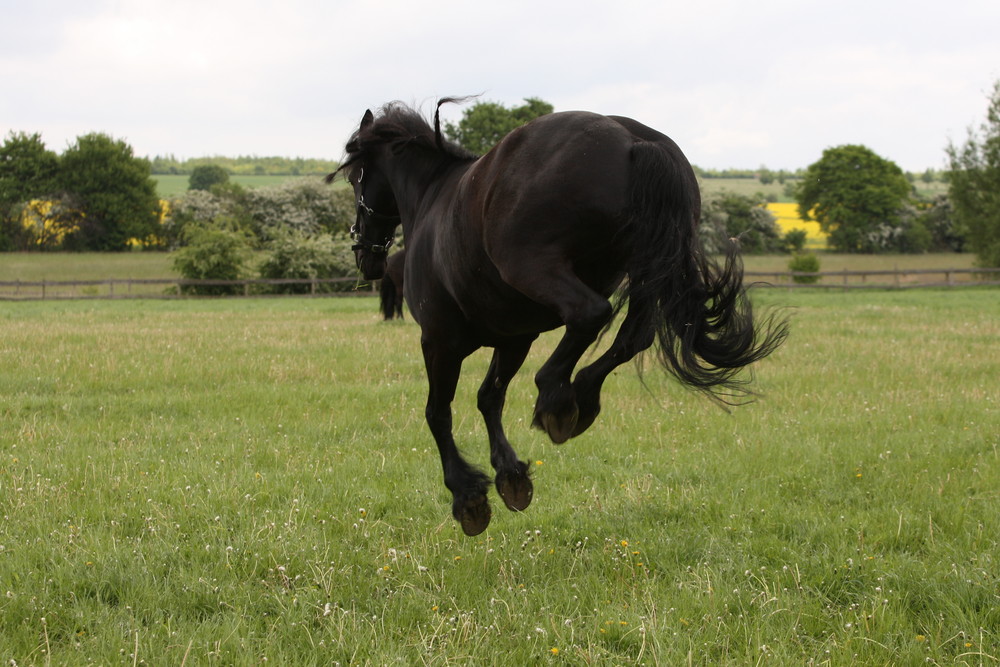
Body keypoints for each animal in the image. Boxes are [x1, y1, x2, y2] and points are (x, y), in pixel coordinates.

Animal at [332, 100, 784, 536]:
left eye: (354, 177)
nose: (365, 254)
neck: (432, 199)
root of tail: (633, 140)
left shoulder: (439, 340)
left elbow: (437, 412)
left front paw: (467, 496)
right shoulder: (514, 338)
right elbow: (489, 397)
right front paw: (510, 475)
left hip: (536, 266)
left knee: (591, 315)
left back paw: (556, 399)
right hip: (646, 268)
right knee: (633, 335)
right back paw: (581, 396)